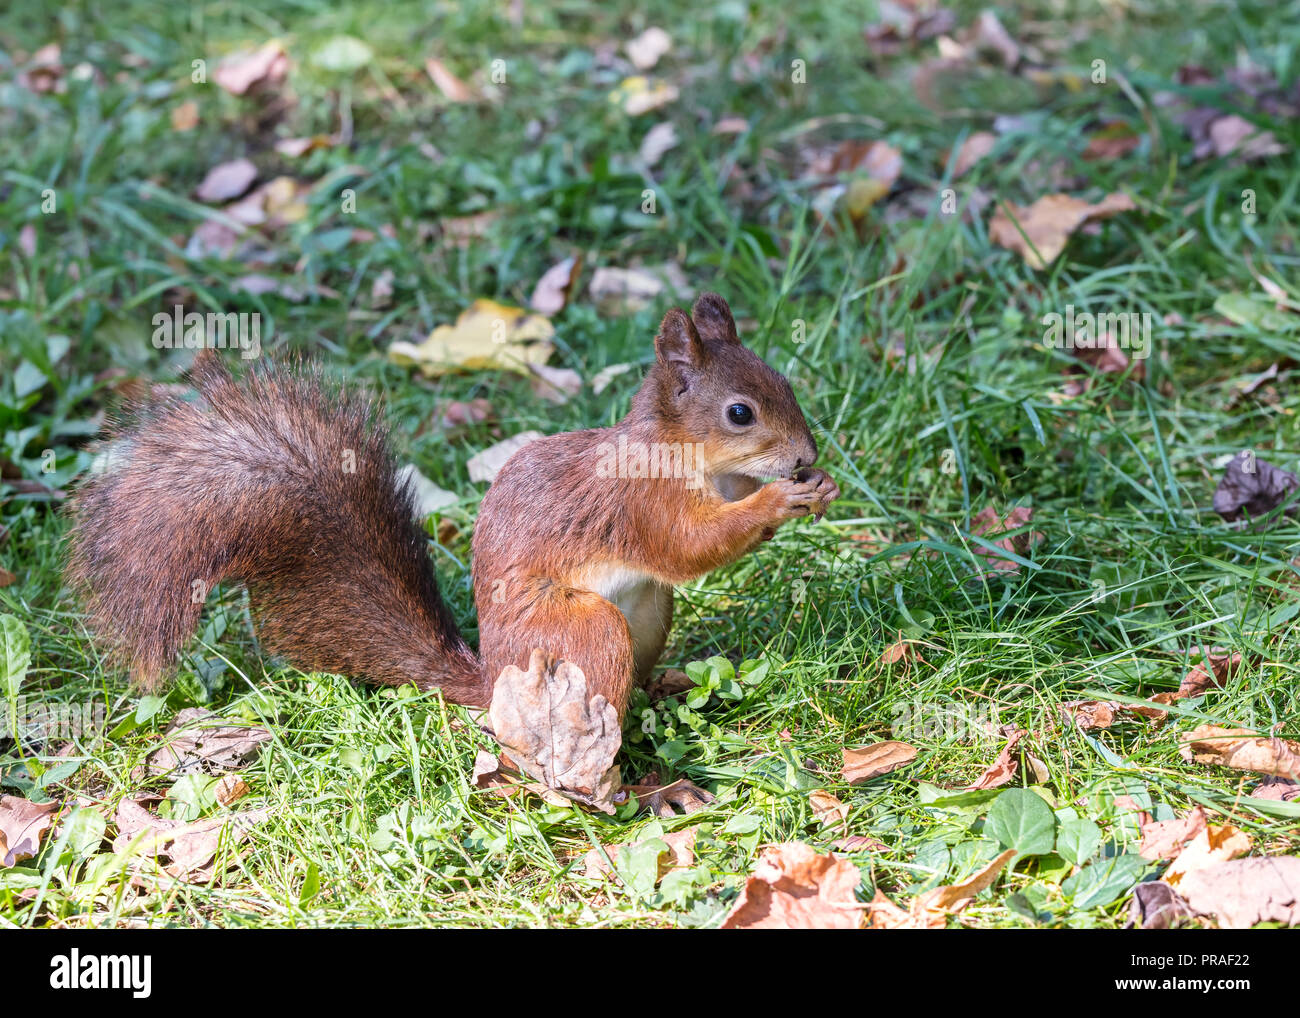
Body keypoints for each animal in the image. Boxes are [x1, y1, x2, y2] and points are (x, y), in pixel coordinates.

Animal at [65, 295, 842, 733]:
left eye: (783, 380)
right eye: (739, 412)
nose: (807, 453)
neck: (673, 452)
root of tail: (493, 682)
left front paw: (817, 485)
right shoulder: (638, 504)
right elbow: (689, 546)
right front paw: (781, 497)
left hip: (649, 613)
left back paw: (668, 685)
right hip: (579, 629)